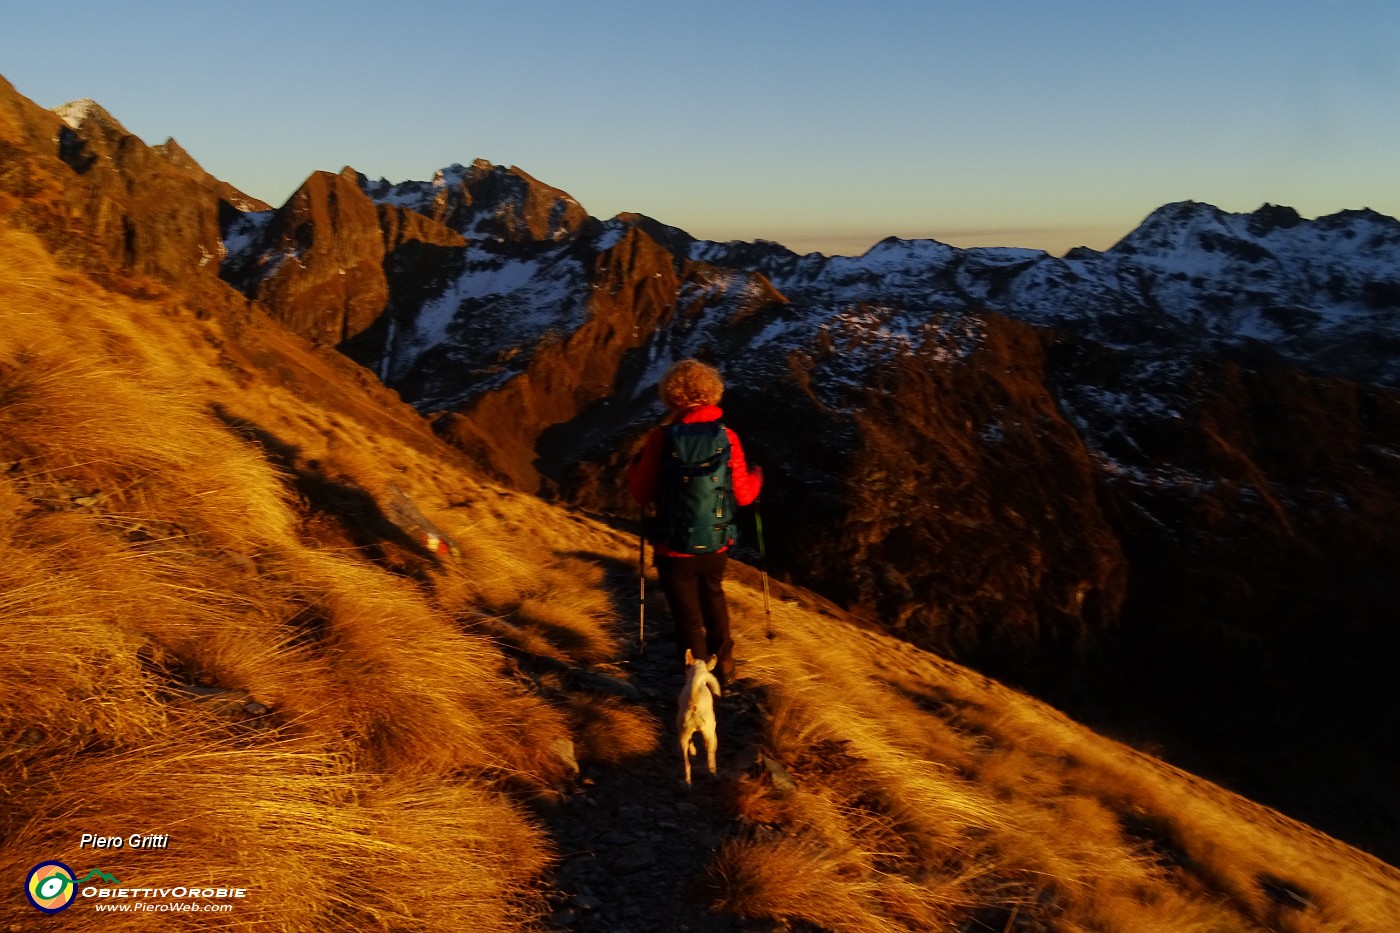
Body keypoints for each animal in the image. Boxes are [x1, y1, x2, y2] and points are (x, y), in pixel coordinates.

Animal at [677, 647, 722, 784]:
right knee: (711, 761)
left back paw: (688, 783)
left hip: (682, 738)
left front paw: (693, 750)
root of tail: (694, 703)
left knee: (687, 764)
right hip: (712, 736)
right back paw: (714, 775)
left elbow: (691, 742)